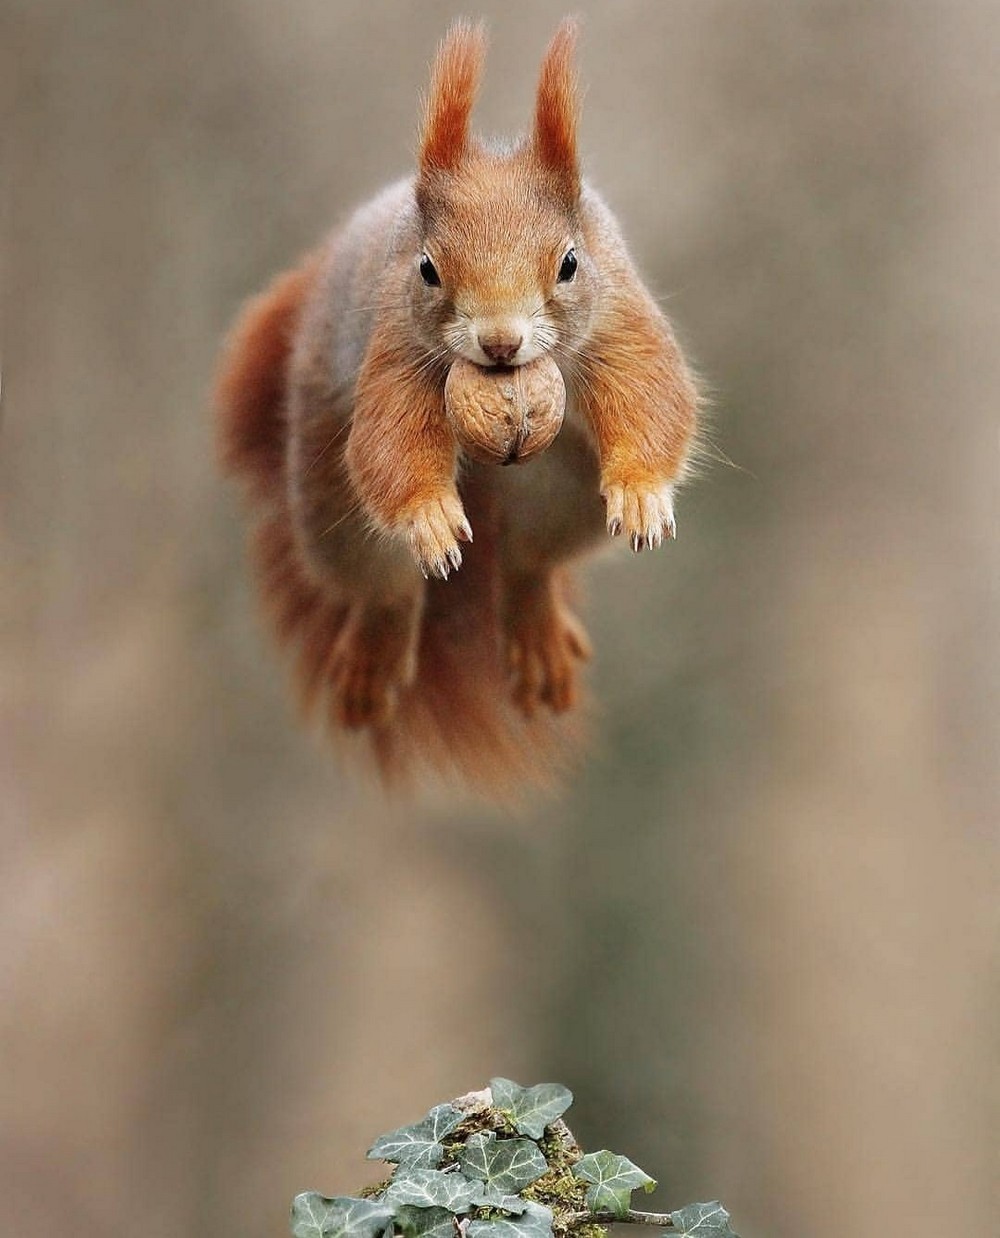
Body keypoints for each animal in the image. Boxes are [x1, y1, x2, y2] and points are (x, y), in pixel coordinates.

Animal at [215, 19, 698, 797]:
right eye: (428, 269)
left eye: (570, 263)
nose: (500, 342)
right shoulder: (398, 348)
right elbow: (390, 444)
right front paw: (428, 516)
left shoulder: (619, 319)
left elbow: (652, 394)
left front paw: (643, 491)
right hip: (328, 499)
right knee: (381, 587)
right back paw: (377, 649)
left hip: (564, 494)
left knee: (529, 563)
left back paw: (532, 626)